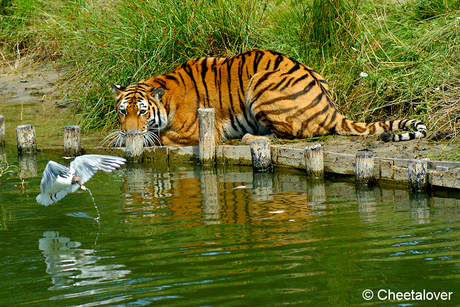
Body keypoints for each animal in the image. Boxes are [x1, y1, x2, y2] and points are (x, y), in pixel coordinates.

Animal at [109, 49, 426, 147]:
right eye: (123, 112)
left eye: (142, 112)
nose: (129, 133)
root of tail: (332, 109)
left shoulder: (198, 131)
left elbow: (162, 137)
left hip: (261, 82)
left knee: (292, 134)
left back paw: (250, 138)